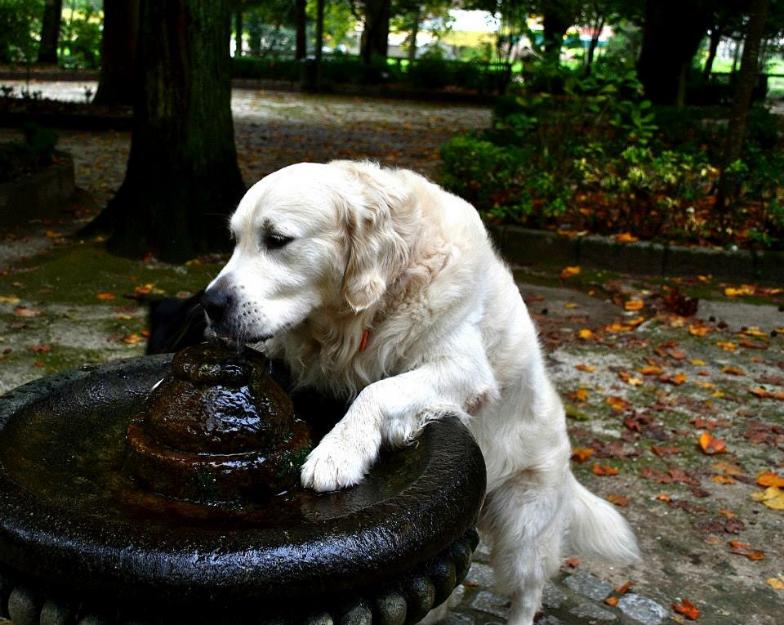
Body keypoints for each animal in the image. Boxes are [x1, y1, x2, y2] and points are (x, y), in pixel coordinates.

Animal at [202, 161, 636, 624]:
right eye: (235, 240)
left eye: (277, 240)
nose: (210, 303)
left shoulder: (465, 368)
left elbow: (377, 391)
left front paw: (339, 453)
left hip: (525, 521)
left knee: (528, 590)